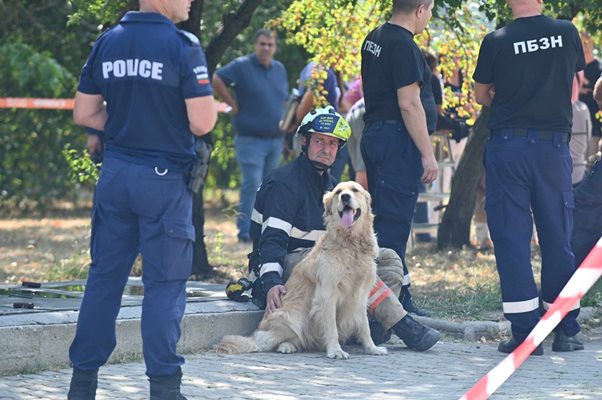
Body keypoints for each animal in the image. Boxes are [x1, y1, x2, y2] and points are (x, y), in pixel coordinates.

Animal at [218, 181, 386, 360]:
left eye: (355, 190)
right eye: (338, 192)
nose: (345, 197)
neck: (351, 244)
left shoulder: (360, 295)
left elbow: (364, 326)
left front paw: (372, 348)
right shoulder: (328, 294)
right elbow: (331, 327)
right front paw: (335, 350)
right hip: (291, 317)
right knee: (264, 341)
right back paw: (284, 346)